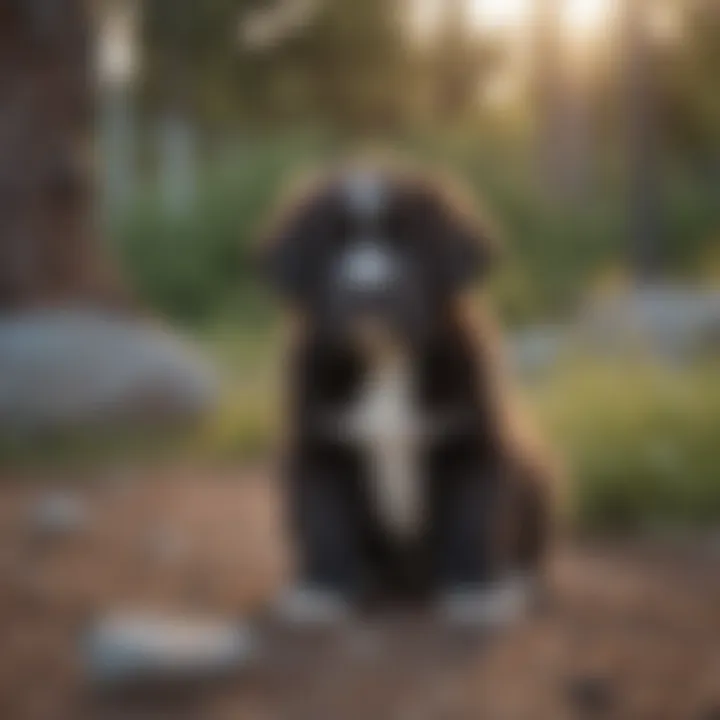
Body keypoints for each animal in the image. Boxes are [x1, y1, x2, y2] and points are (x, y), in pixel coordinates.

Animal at [258, 160, 552, 628]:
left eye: (409, 243)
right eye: (333, 247)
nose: (367, 289)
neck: (386, 359)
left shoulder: (473, 442)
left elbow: (473, 519)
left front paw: (477, 591)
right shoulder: (319, 445)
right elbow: (324, 522)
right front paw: (323, 590)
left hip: (538, 470)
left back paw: (514, 578)